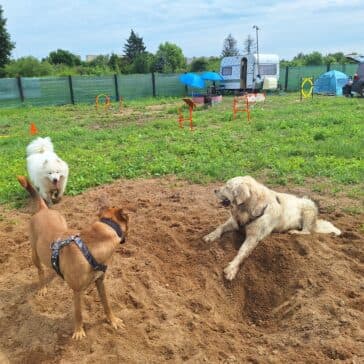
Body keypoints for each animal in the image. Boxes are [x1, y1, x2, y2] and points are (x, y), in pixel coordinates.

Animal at [18, 175, 130, 340]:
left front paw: (112, 320)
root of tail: (44, 209)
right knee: (40, 271)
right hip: (34, 253)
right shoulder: (77, 291)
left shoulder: (100, 281)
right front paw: (78, 331)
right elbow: (78, 314)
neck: (91, 245)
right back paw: (43, 287)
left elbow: (106, 303)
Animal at [203, 176, 340, 282]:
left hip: (308, 209)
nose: (214, 190)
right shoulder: (234, 222)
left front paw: (232, 269)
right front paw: (210, 236)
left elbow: (242, 252)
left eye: (227, 187)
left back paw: (294, 231)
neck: (248, 209)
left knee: (307, 231)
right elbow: (220, 228)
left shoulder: (254, 237)